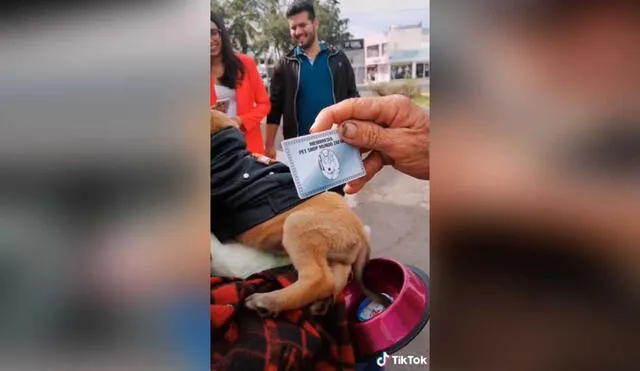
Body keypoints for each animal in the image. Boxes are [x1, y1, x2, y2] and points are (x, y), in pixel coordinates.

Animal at [211, 110, 390, 316]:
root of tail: (361, 233)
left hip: (298, 225)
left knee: (319, 278)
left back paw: (267, 301)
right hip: (334, 255)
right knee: (336, 279)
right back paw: (322, 303)